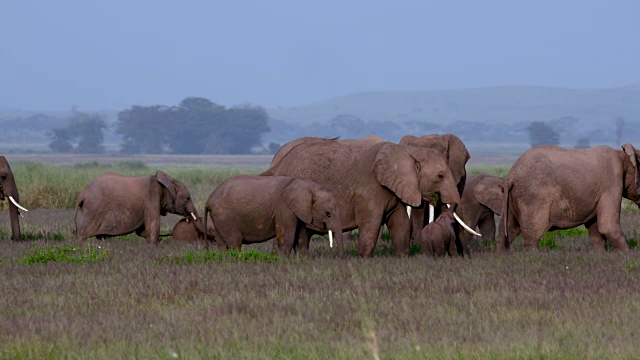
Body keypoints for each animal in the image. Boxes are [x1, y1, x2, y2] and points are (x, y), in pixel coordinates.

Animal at [205, 174, 344, 256]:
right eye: (328, 214)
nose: (340, 258)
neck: (310, 187)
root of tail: (209, 199)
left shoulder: (299, 210)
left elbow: (302, 238)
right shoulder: (284, 207)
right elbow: (286, 237)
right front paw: (283, 261)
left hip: (219, 218)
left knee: (222, 245)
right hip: (224, 215)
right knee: (235, 242)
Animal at [262, 136, 478, 258]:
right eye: (440, 176)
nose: (466, 257)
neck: (407, 151)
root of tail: (278, 163)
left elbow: (400, 224)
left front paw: (403, 259)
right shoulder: (370, 189)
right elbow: (371, 224)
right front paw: (363, 260)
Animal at [500, 145, 640, 252]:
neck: (622, 153)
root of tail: (511, 176)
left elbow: (595, 228)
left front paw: (598, 255)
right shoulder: (612, 183)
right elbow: (608, 225)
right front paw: (628, 255)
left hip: (513, 198)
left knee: (507, 231)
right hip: (533, 197)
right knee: (533, 235)